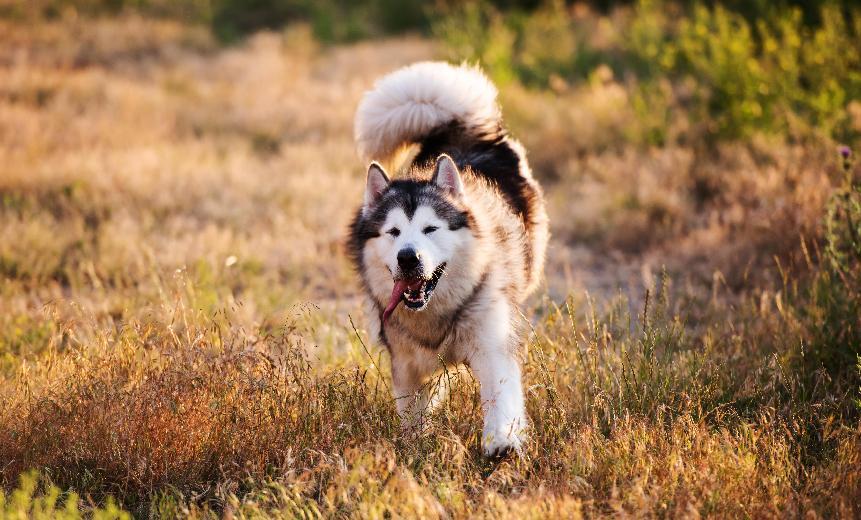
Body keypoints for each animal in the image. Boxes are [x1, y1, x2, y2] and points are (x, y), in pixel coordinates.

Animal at [346, 62, 548, 456]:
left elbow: (500, 395)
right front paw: (413, 448)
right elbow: (412, 414)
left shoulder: (491, 341)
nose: (408, 258)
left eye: (430, 229)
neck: (437, 313)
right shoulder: (406, 362)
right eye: (393, 232)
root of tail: (459, 127)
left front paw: (501, 441)